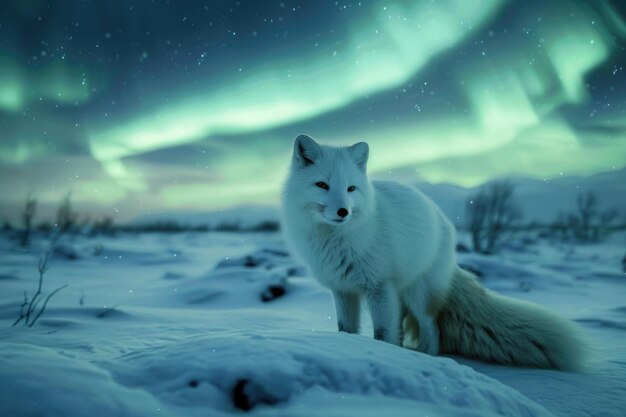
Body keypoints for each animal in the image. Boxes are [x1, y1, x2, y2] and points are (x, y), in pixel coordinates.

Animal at [280, 134, 588, 370]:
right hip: (402, 296)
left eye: (351, 188)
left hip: (418, 294)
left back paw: (424, 357)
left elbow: (383, 334)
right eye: (322, 185)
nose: (343, 211)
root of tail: (443, 220)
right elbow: (346, 329)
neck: (335, 240)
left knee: (432, 330)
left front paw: (383, 356)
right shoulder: (342, 289)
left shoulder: (379, 287)